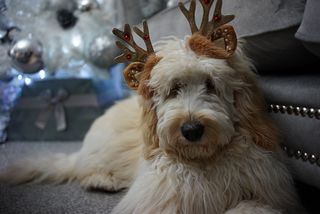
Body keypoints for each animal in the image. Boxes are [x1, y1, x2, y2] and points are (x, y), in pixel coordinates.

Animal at [0, 0, 304, 214]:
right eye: (173, 90)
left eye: (210, 85)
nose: (191, 129)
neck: (204, 160)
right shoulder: (159, 198)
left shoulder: (268, 190)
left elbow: (253, 207)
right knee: (83, 168)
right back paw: (102, 179)